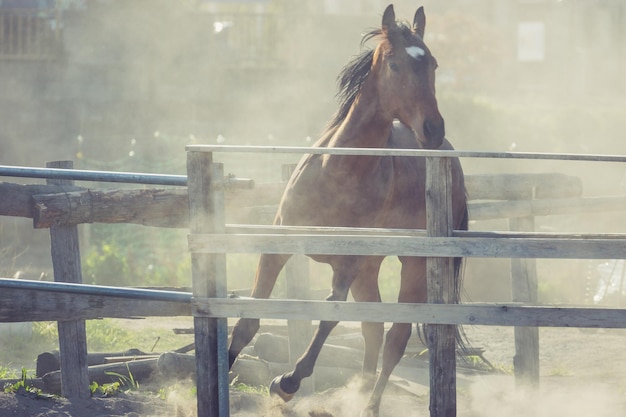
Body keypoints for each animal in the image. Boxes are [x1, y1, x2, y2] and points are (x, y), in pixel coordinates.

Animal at [227, 5, 466, 416]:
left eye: (433, 64)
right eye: (395, 64)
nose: (433, 128)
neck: (337, 173)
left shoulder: (348, 263)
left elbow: (328, 316)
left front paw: (287, 383)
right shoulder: (278, 245)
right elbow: (248, 321)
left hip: (412, 265)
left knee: (395, 338)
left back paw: (369, 404)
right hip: (371, 269)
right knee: (373, 330)